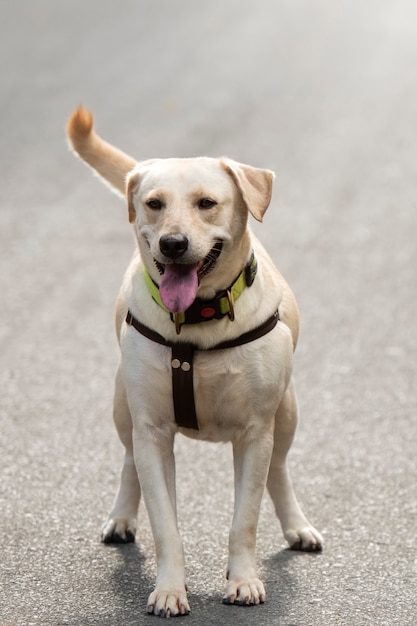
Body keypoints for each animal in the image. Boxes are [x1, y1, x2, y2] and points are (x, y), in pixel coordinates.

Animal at [66, 106, 322, 616]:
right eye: (153, 203)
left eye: (207, 203)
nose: (173, 244)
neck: (199, 318)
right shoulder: (152, 430)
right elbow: (165, 522)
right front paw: (169, 589)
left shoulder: (255, 432)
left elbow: (245, 518)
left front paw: (243, 580)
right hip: (123, 407)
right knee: (129, 461)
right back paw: (122, 516)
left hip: (286, 412)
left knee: (279, 471)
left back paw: (297, 525)